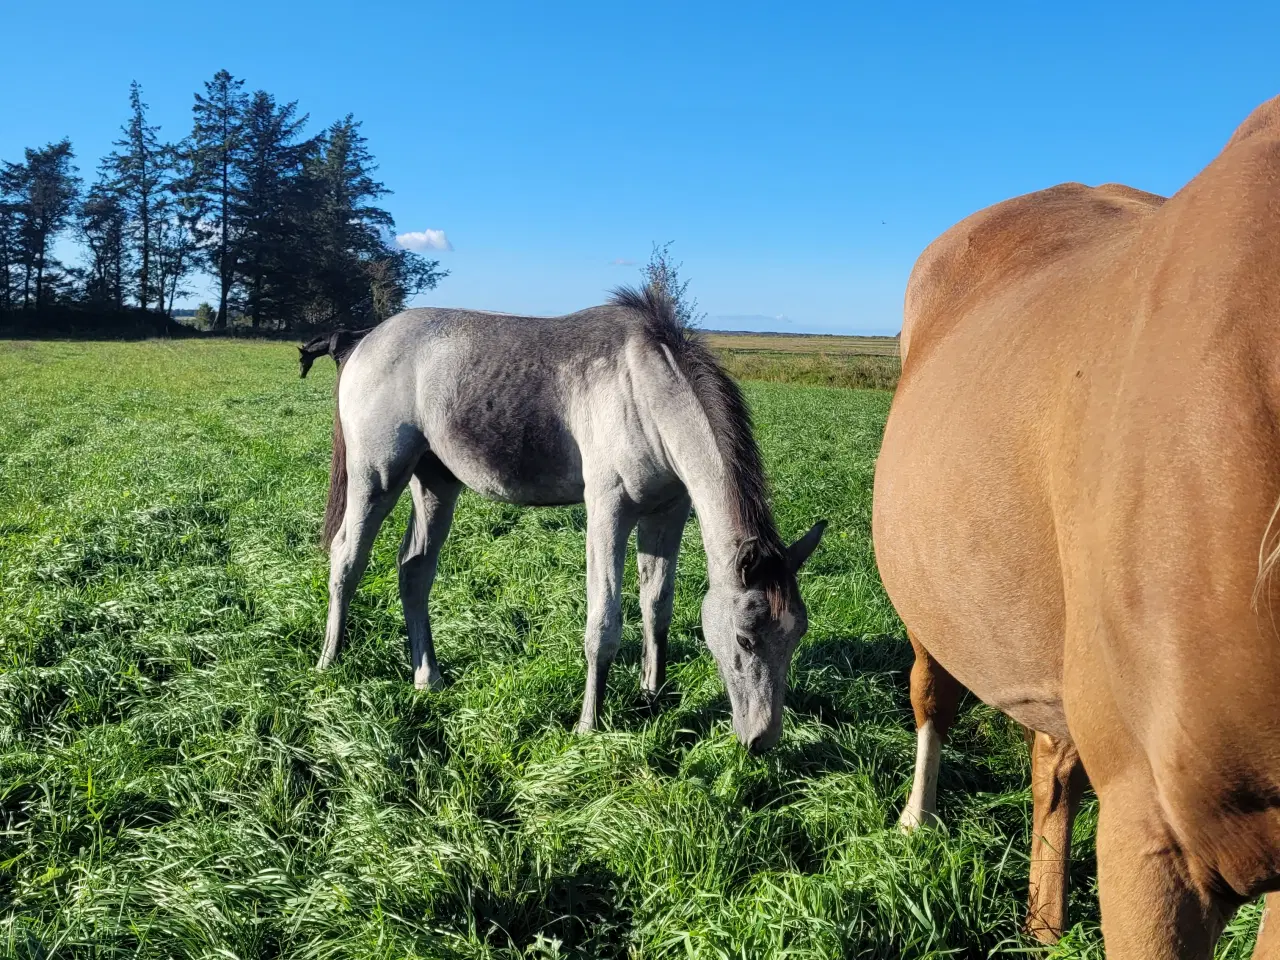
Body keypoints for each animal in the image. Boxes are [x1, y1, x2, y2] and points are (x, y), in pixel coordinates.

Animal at [880, 94, 1280, 957]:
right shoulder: (1153, 843)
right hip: (929, 613)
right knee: (934, 700)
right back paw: (915, 823)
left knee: (1051, 764)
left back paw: (1043, 923)